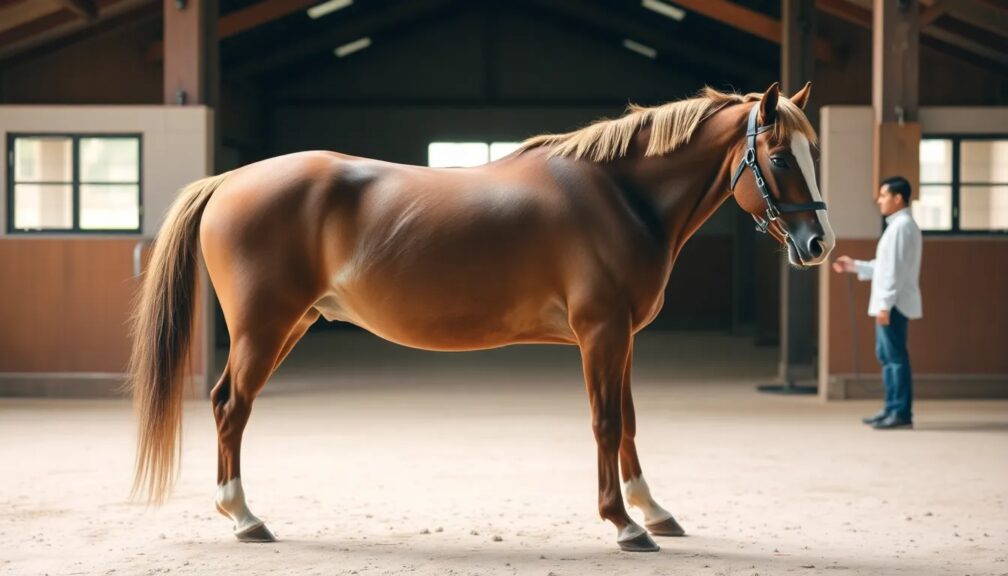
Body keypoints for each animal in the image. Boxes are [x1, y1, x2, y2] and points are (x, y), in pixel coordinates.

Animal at [129, 82, 834, 552]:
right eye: (779, 158)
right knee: (231, 405)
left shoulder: (623, 337)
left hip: (292, 324)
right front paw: (624, 523)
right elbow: (606, 423)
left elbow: (630, 422)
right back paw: (245, 517)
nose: (818, 245)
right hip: (264, 327)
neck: (618, 196)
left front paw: (653, 509)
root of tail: (227, 181)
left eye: (813, 154)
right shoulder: (600, 333)